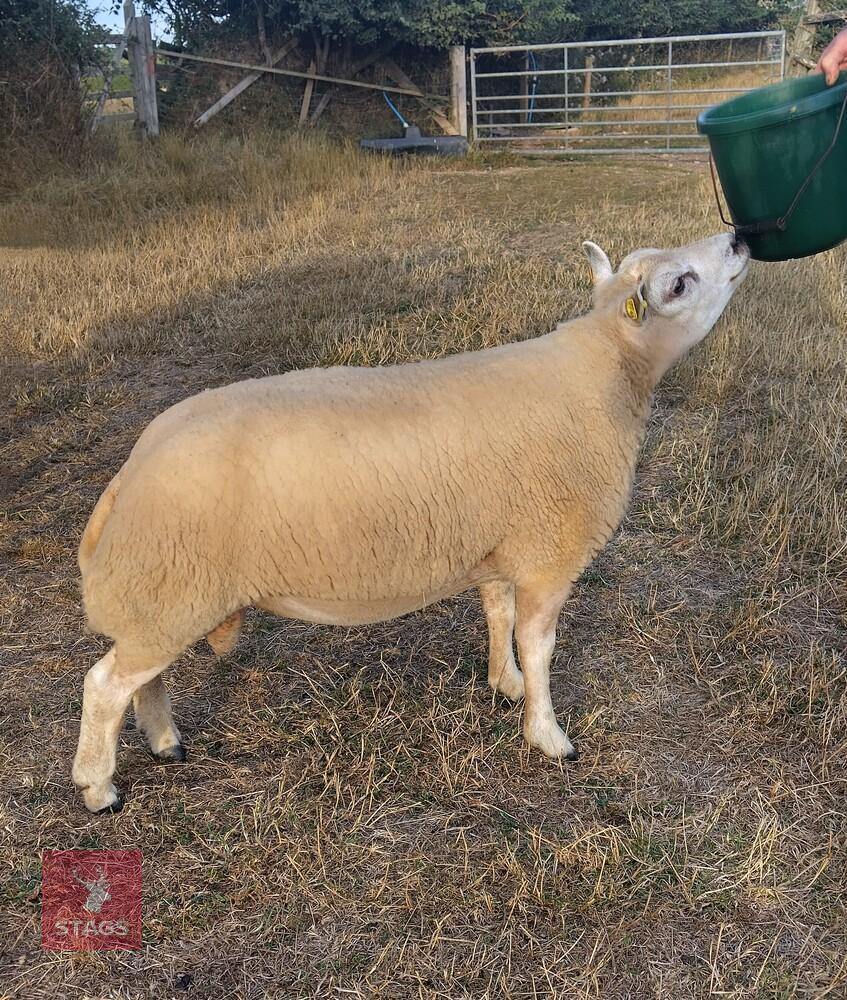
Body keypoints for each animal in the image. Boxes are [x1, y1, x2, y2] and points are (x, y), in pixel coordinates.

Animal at [72, 232, 749, 813]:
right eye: (679, 284)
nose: (740, 237)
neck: (606, 369)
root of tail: (129, 473)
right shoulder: (549, 554)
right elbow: (541, 646)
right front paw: (548, 735)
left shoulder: (501, 542)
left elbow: (498, 614)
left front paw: (504, 682)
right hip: (171, 587)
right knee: (105, 684)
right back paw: (99, 788)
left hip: (165, 592)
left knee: (144, 677)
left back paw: (164, 741)